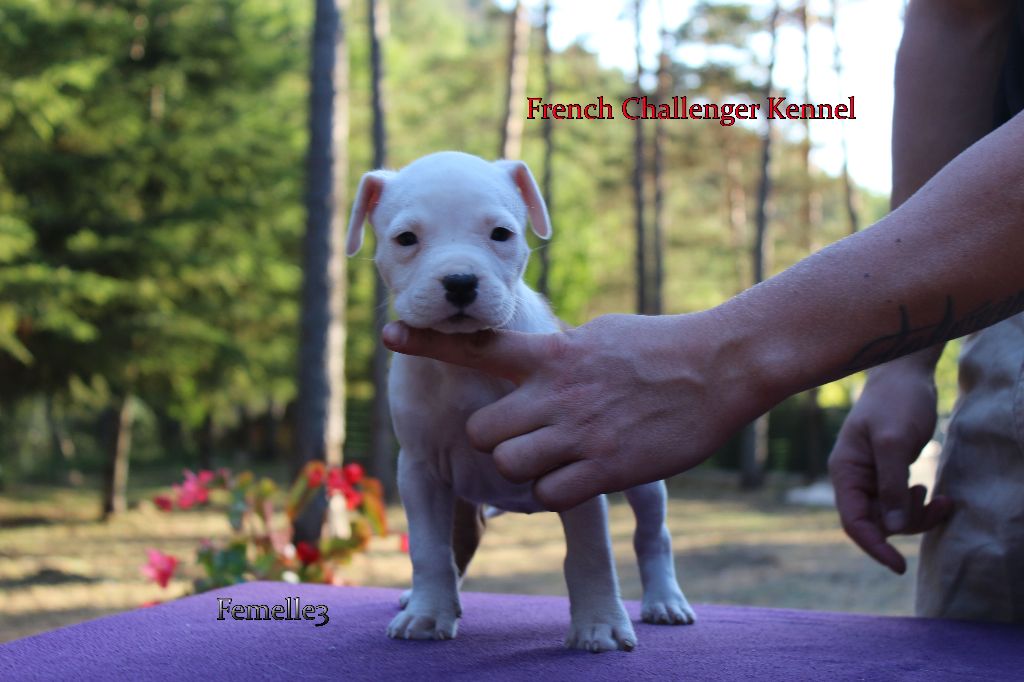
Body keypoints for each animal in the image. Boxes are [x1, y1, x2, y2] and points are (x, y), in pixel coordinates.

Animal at [346, 151, 694, 652]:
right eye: (406, 239)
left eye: (501, 234)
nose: (460, 281)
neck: (464, 363)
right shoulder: (420, 469)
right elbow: (429, 549)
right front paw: (427, 614)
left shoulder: (576, 466)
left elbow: (590, 552)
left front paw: (599, 625)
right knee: (455, 549)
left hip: (644, 474)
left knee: (653, 533)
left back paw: (665, 600)